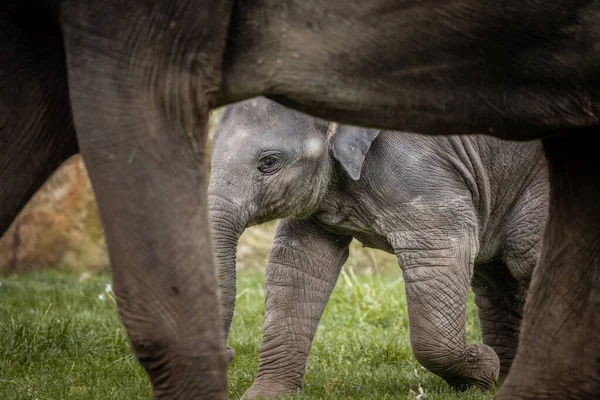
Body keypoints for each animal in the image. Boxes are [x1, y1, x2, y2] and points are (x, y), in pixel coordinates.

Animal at [209, 96, 552, 396]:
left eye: (269, 163)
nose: (228, 353)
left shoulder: (419, 172)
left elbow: (443, 252)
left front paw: (484, 368)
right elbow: (297, 262)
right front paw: (267, 395)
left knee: (524, 258)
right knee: (495, 278)